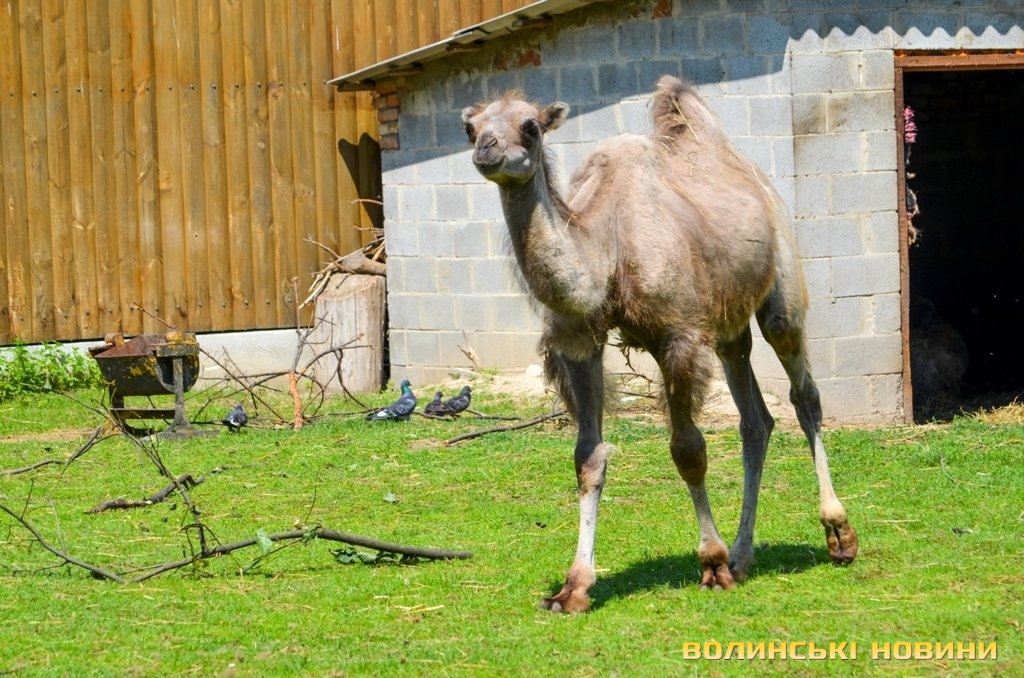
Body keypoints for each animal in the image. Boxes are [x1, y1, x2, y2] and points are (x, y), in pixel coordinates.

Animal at [461, 75, 858, 613]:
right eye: (471, 127)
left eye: (530, 126)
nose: (486, 150)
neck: (606, 247)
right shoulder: (580, 342)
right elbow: (588, 457)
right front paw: (574, 587)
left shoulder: (678, 335)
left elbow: (688, 450)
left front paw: (711, 565)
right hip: (728, 326)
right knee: (755, 420)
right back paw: (743, 555)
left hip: (783, 285)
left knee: (804, 395)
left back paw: (837, 535)